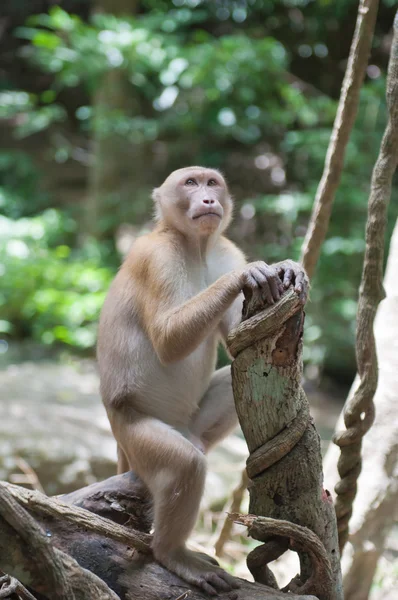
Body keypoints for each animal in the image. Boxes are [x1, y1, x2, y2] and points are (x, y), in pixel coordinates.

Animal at [97, 165, 308, 596]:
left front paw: (287, 268)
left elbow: (240, 340)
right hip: (132, 431)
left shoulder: (224, 250)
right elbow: (167, 338)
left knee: (231, 384)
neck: (195, 246)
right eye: (191, 183)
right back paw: (173, 553)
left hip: (190, 422)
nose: (208, 198)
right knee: (183, 466)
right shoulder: (156, 257)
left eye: (213, 183)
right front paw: (248, 274)